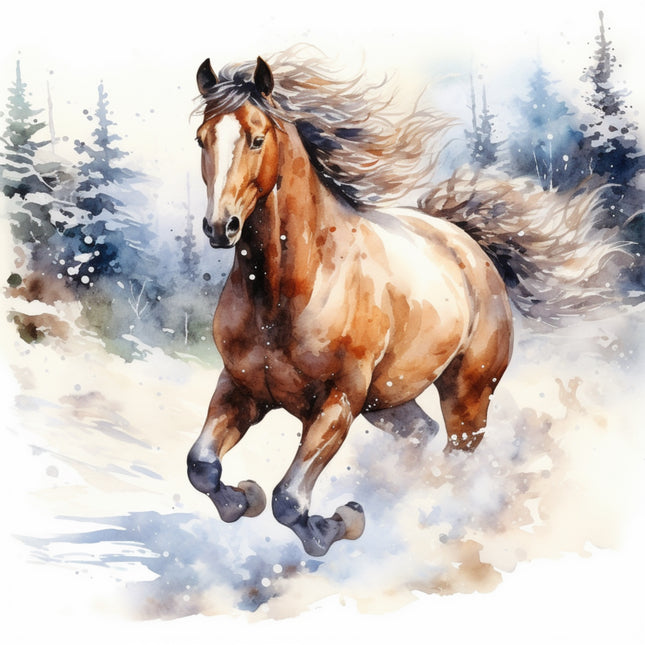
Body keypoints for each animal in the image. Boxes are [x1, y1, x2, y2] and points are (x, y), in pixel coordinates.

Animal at [186, 51, 513, 557]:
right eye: (202, 138)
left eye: (257, 139)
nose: (221, 227)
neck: (286, 291)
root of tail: (471, 248)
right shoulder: (241, 387)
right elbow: (202, 466)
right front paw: (242, 499)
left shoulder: (338, 400)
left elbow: (289, 500)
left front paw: (341, 522)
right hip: (388, 401)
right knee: (420, 434)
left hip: (468, 396)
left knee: (457, 460)